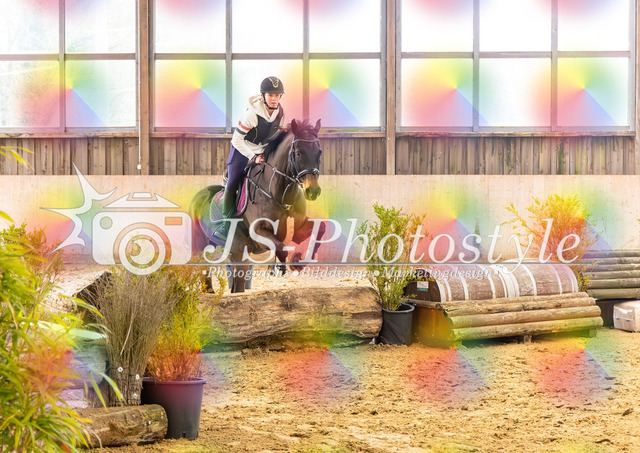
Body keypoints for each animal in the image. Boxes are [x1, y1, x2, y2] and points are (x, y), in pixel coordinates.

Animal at [189, 119, 326, 293]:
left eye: (319, 152)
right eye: (298, 153)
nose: (313, 191)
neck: (279, 193)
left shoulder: (299, 227)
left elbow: (320, 228)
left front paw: (300, 261)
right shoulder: (259, 233)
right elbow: (280, 248)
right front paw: (280, 267)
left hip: (236, 251)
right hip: (201, 244)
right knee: (205, 267)